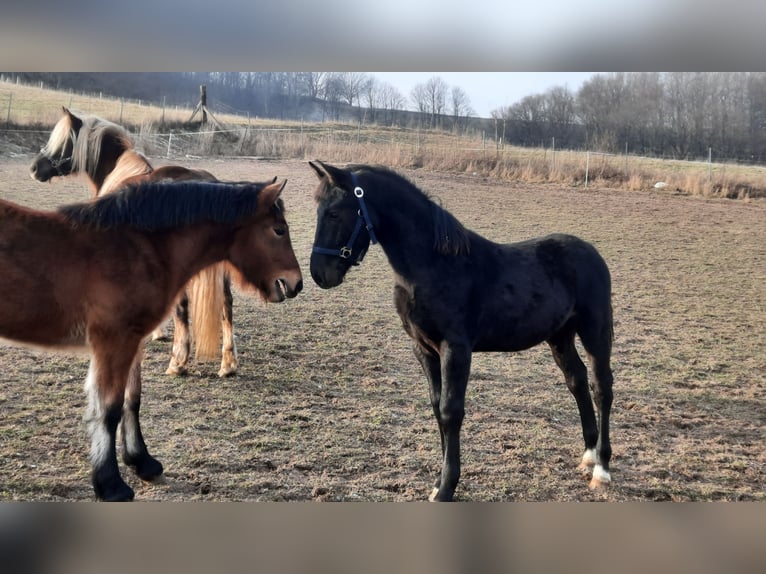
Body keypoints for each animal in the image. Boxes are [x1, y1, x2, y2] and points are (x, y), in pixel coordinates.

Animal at [0, 179, 302, 501]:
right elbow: (108, 409)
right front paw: (110, 484)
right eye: (279, 230)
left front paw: (141, 461)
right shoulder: (114, 342)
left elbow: (131, 400)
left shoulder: (134, 340)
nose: (295, 283)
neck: (140, 249)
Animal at [29, 107, 238, 377]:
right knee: (226, 305)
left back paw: (178, 363)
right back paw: (228, 364)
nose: (35, 167)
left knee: (183, 307)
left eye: (65, 141)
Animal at [308, 161, 614, 501]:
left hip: (595, 331)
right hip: (559, 337)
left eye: (334, 213)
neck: (434, 265)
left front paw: (447, 487)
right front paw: (438, 482)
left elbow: (451, 411)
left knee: (602, 387)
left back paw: (602, 469)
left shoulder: (455, 349)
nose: (320, 273)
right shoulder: (424, 349)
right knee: (577, 380)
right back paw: (588, 455)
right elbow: (436, 406)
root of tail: (590, 252)